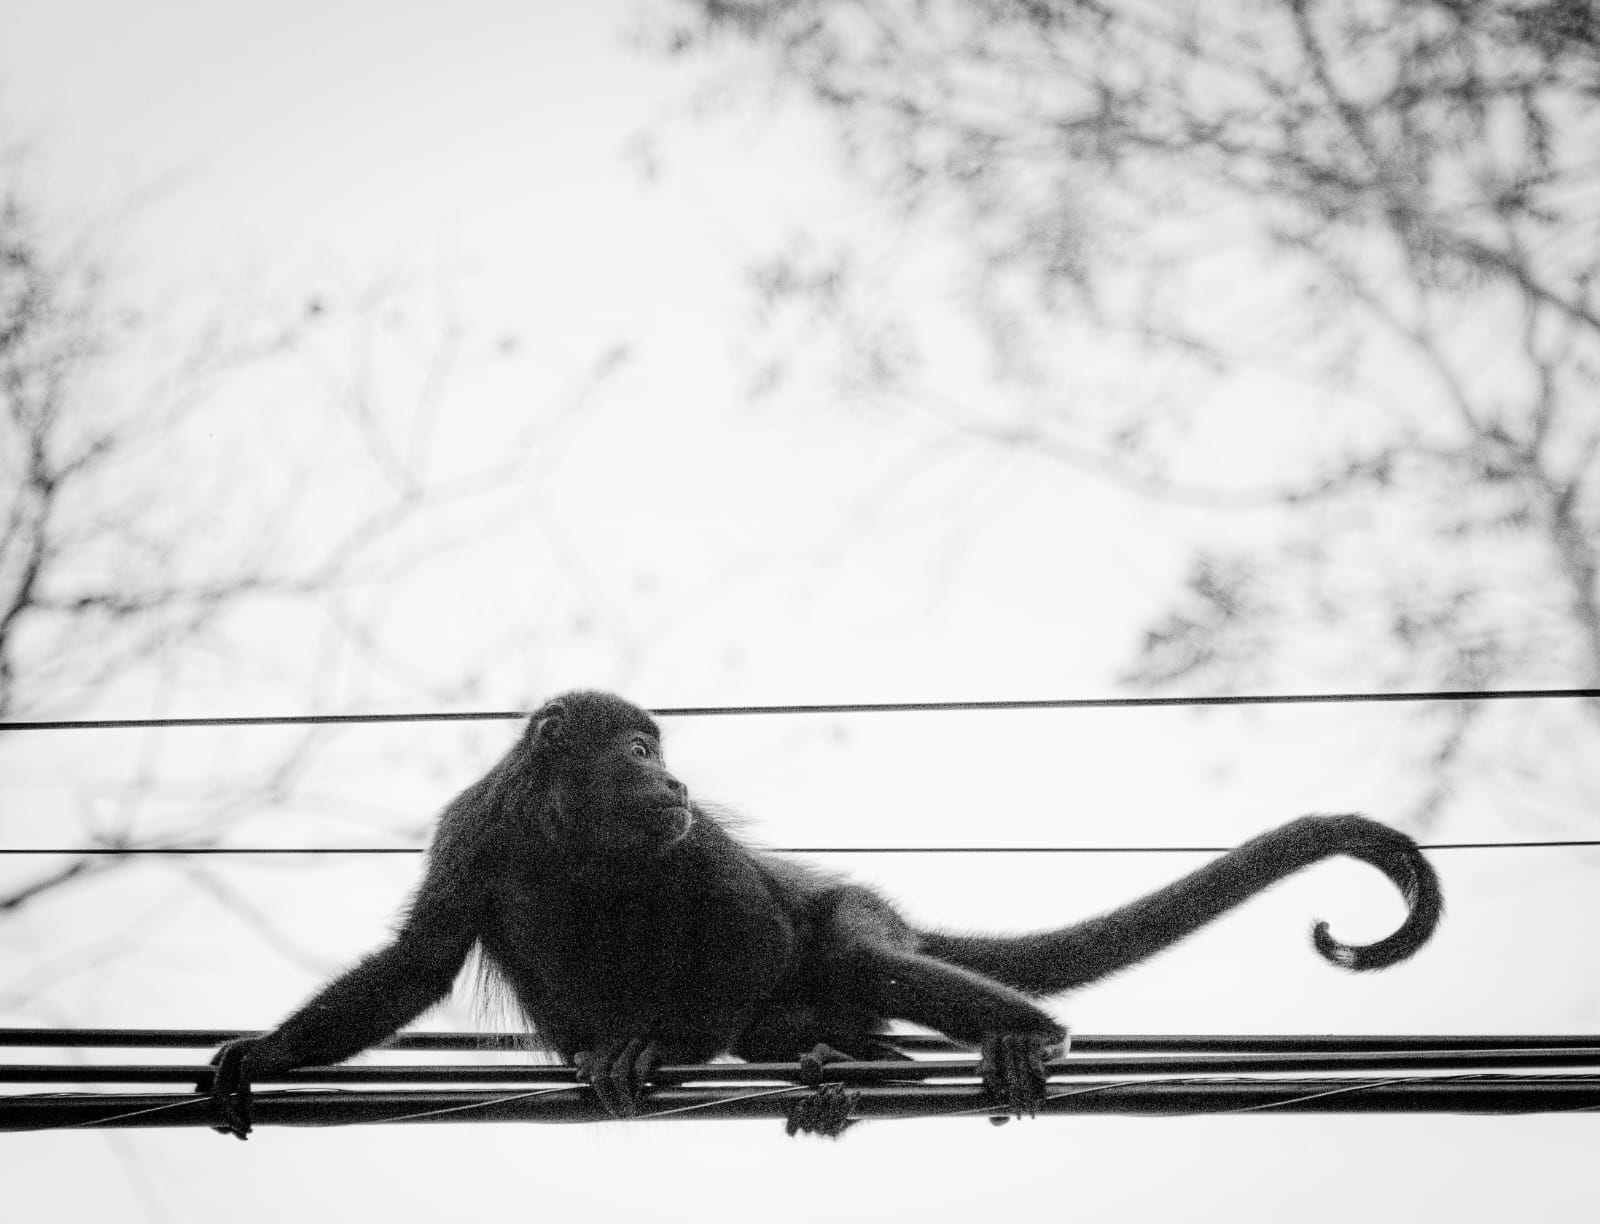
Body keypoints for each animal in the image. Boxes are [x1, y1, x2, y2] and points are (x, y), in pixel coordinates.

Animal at [201, 689, 1442, 1137]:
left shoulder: (693, 847)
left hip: (860, 918)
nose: (674, 779)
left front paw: (661, 1050)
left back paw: (1016, 1038)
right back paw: (850, 1066)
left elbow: (746, 927)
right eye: (637, 749)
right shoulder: (474, 830)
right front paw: (262, 1055)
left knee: (855, 954)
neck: (568, 835)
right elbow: (417, 961)